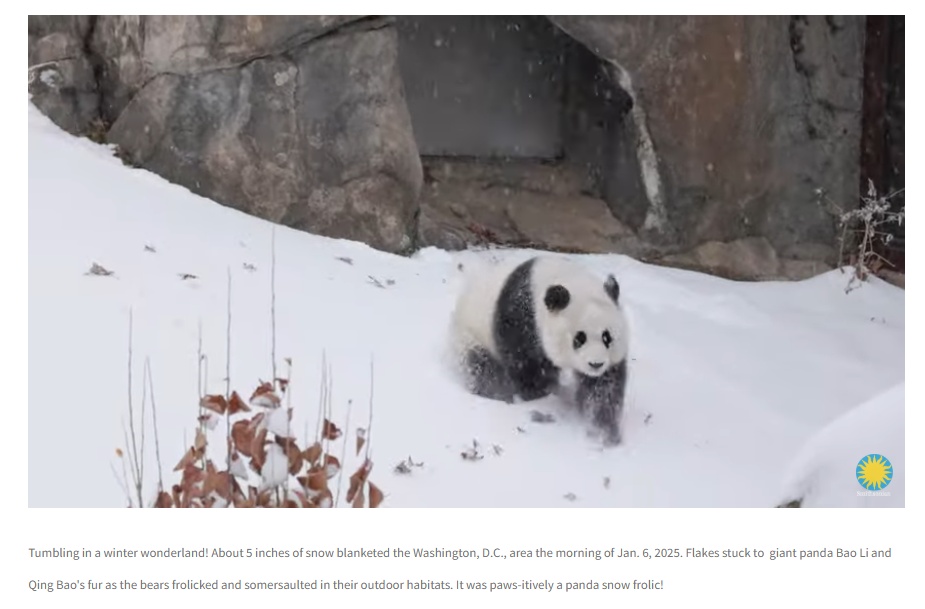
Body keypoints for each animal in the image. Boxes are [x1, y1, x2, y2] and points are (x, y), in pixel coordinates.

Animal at [448, 254, 628, 444]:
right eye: (579, 338)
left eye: (607, 337)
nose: (596, 364)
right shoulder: (521, 320)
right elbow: (526, 365)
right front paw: (540, 396)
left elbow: (602, 386)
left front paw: (603, 431)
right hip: (469, 336)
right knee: (481, 367)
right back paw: (497, 393)